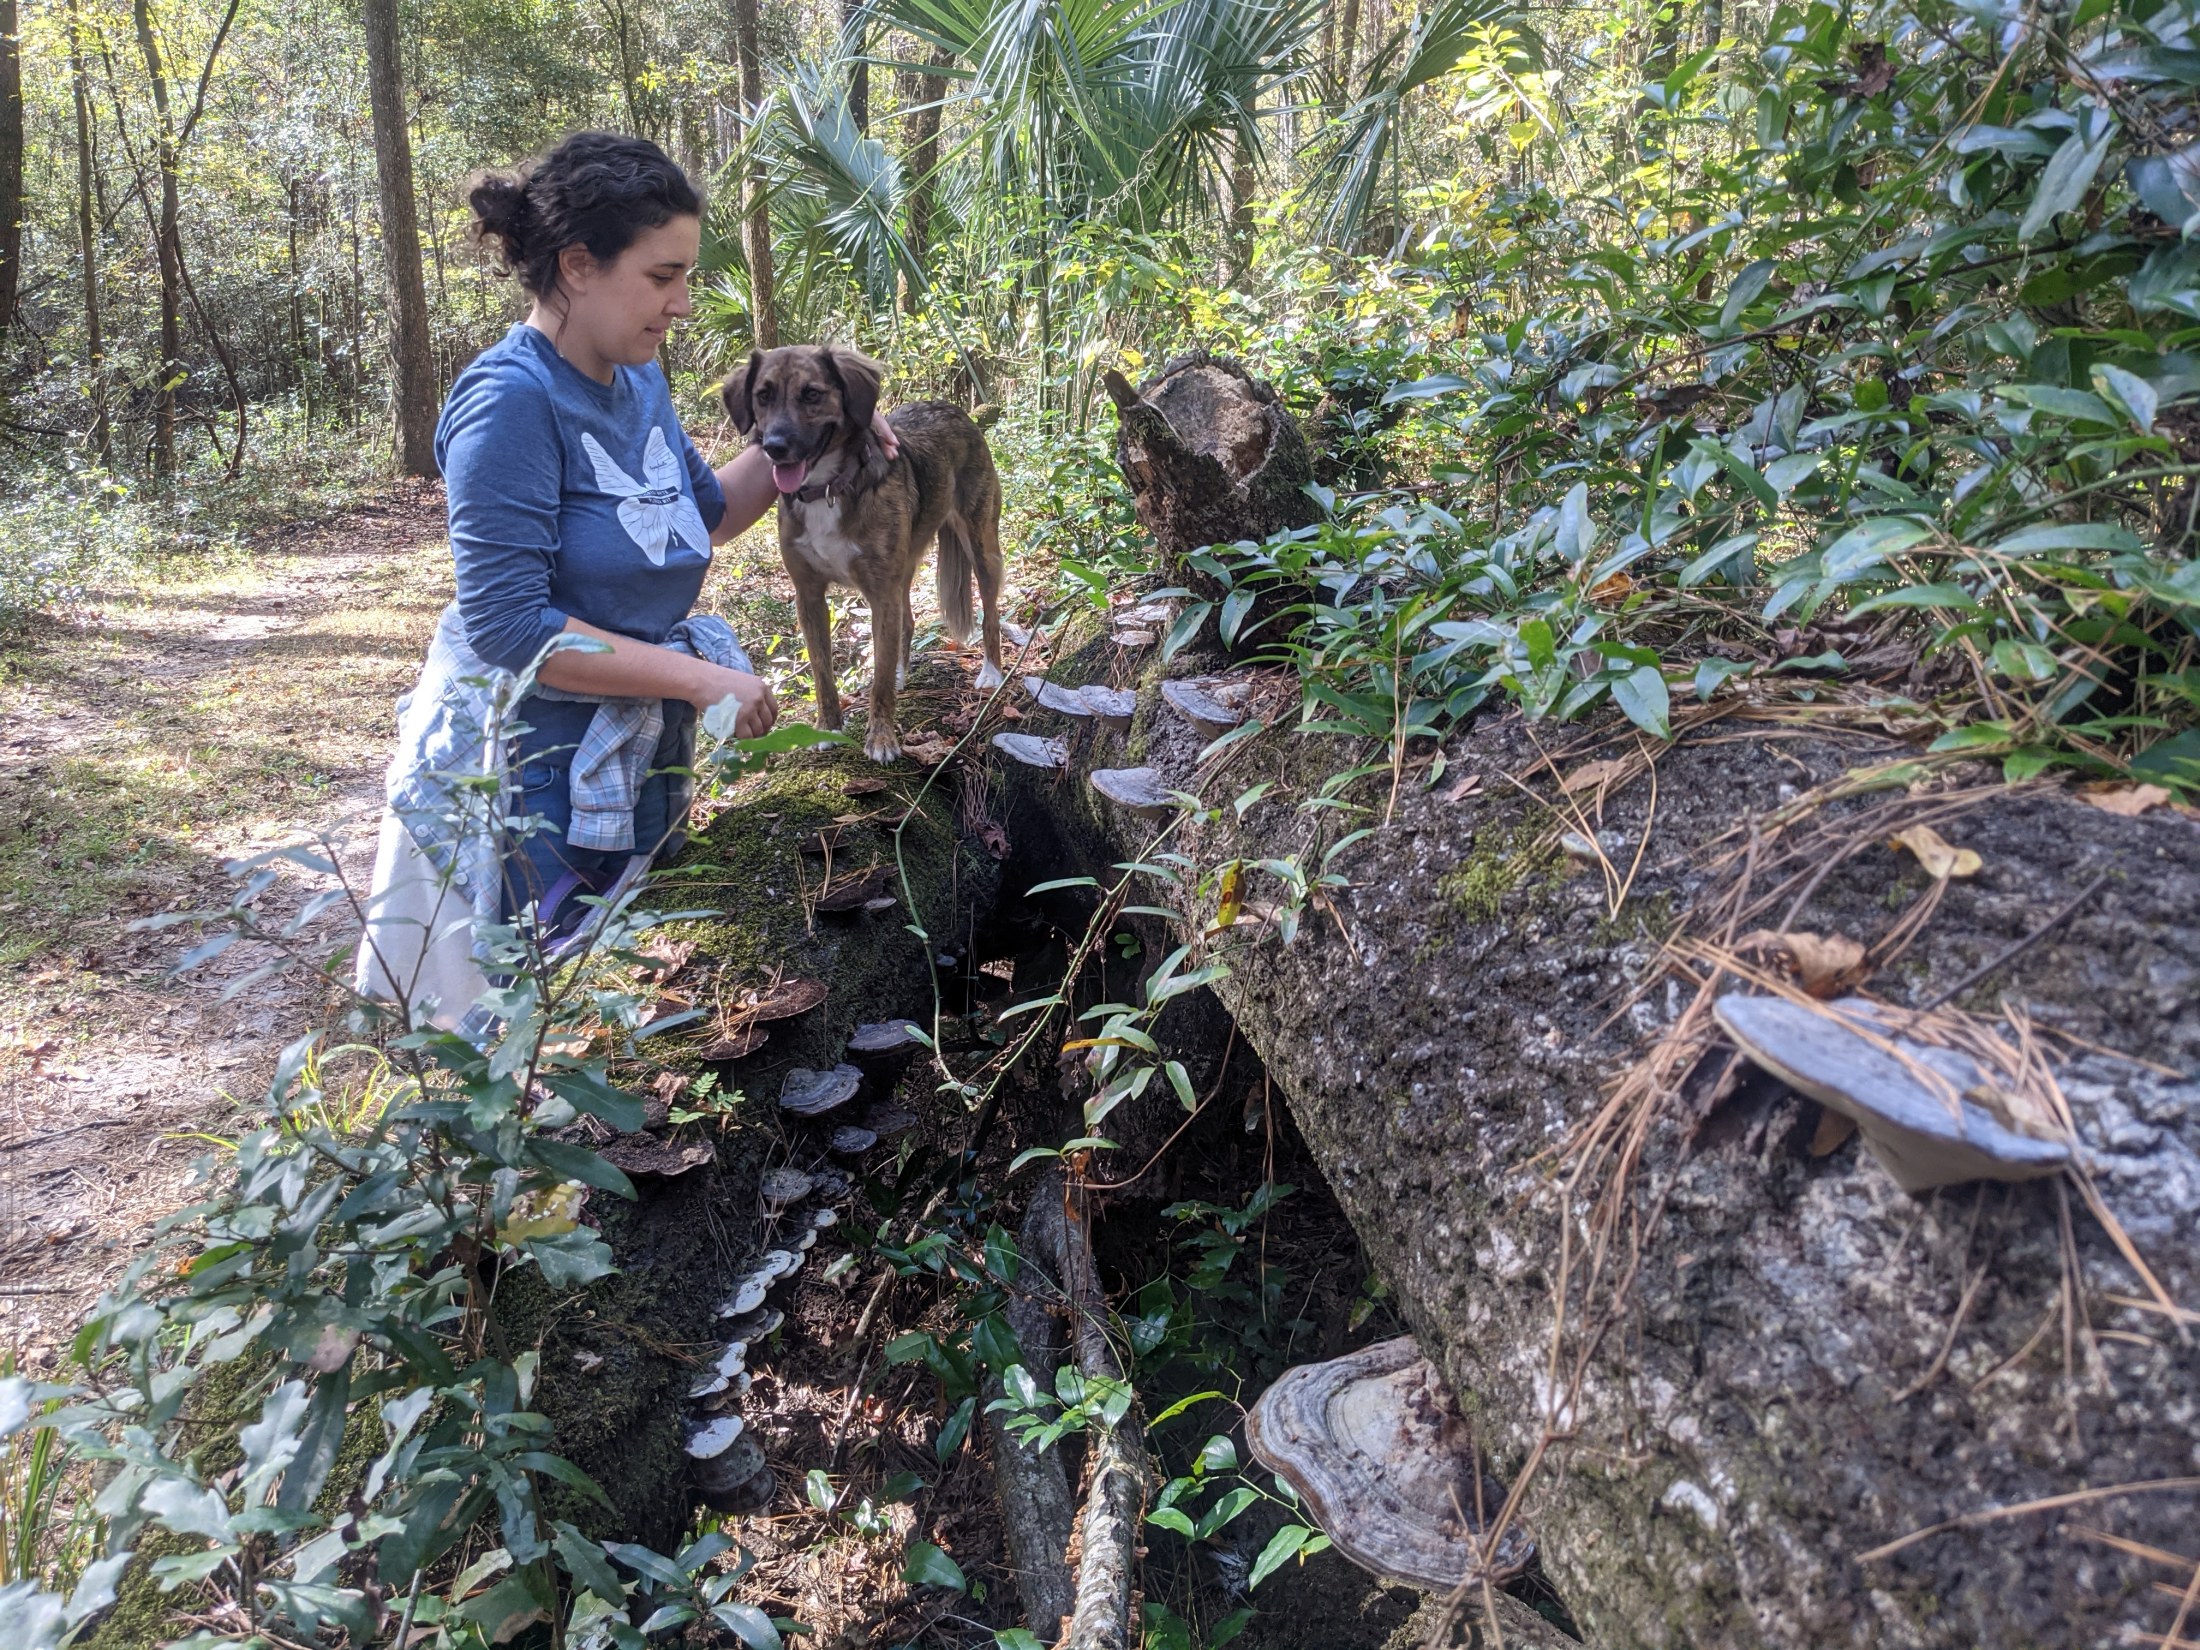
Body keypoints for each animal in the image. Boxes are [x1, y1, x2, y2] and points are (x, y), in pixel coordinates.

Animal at [721, 352, 1007, 765]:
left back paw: (992, 673)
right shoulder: (809, 596)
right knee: (908, 622)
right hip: (904, 565)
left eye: (811, 394)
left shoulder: (880, 593)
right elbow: (823, 672)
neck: (827, 488)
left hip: (980, 543)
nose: (774, 447)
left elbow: (879, 680)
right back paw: (903, 672)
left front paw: (882, 737)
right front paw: (827, 728)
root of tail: (955, 409)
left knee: (990, 614)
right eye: (763, 396)